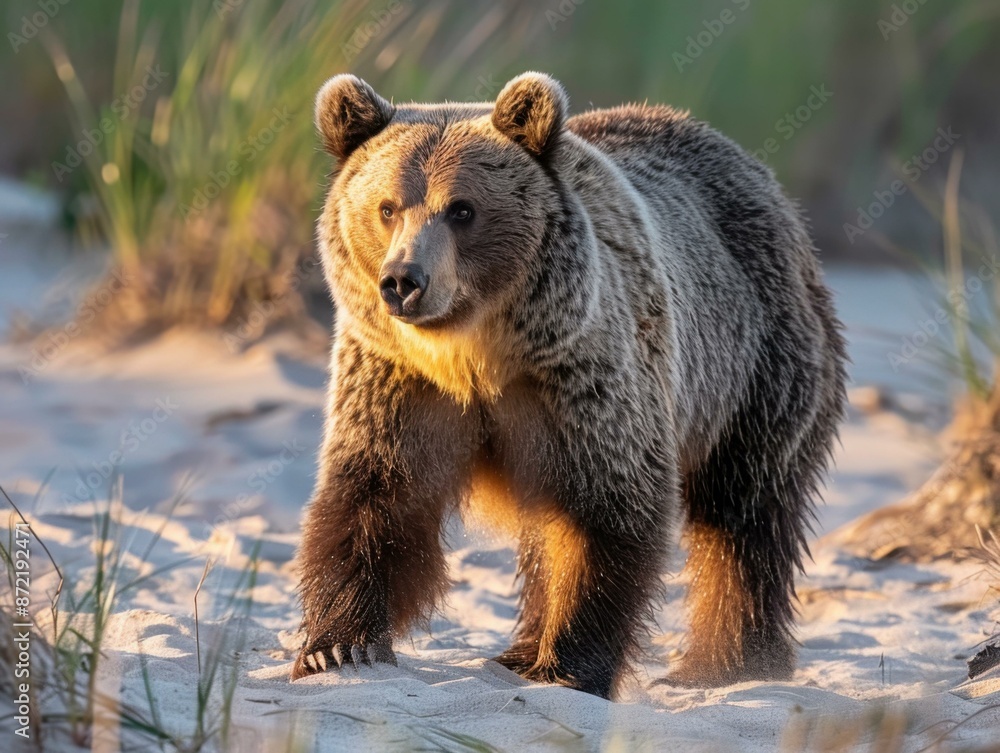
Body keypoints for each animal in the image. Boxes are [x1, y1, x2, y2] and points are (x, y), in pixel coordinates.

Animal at [291, 71, 847, 699]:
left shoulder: (584, 377)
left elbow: (607, 511)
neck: (476, 356)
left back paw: (729, 663)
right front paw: (339, 647)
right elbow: (375, 497)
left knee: (746, 513)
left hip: (755, 363)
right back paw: (519, 651)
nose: (404, 281)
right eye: (387, 206)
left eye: (462, 209)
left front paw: (571, 666)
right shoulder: (400, 381)